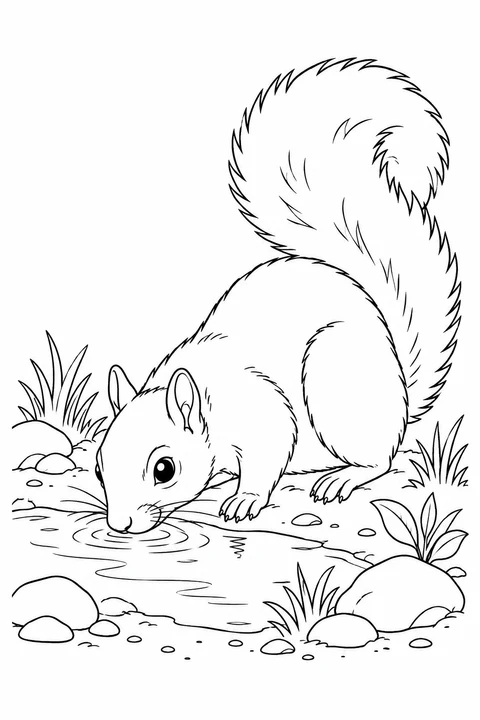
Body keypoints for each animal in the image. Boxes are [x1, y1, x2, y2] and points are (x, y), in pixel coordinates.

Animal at [96, 58, 460, 534]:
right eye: (99, 465)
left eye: (164, 469)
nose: (119, 525)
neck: (212, 399)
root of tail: (399, 393)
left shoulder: (264, 412)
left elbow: (269, 452)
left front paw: (244, 500)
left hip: (336, 381)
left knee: (379, 460)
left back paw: (343, 477)